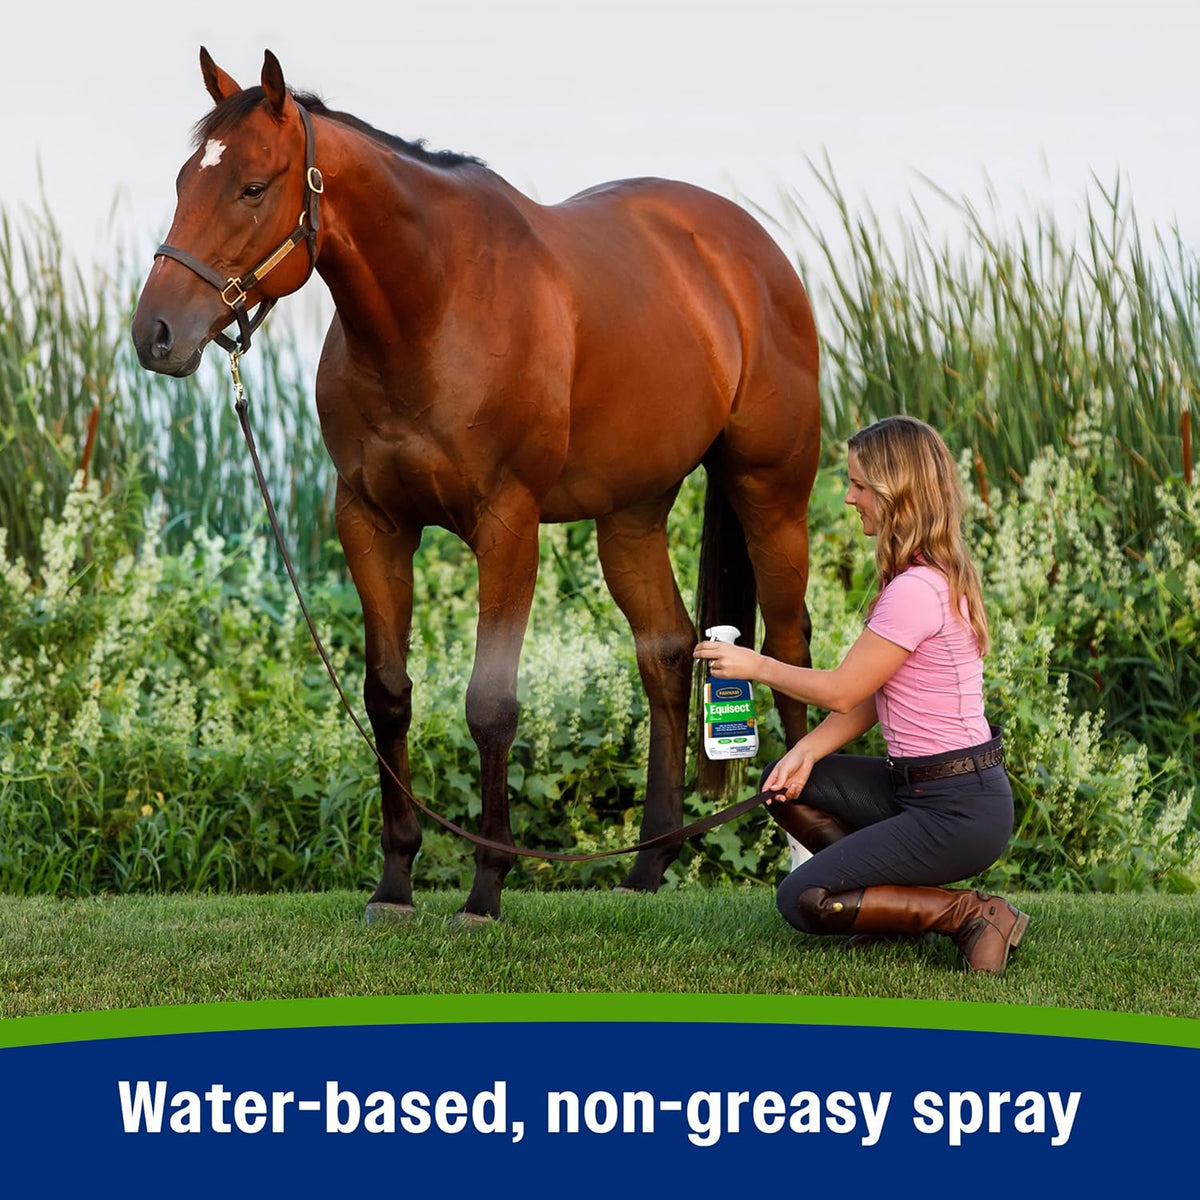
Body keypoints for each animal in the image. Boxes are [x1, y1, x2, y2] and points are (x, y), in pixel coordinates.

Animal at [131, 49, 821, 922]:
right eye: (186, 179)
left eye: (253, 187)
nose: (155, 333)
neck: (435, 307)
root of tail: (746, 250)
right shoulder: (370, 522)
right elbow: (387, 695)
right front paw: (395, 883)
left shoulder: (507, 525)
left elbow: (491, 706)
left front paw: (486, 890)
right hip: (631, 513)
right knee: (664, 649)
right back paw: (646, 866)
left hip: (770, 490)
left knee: (790, 645)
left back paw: (805, 850)